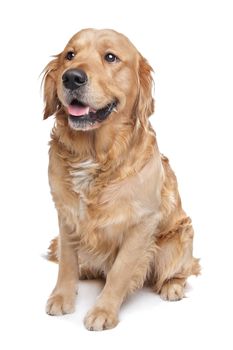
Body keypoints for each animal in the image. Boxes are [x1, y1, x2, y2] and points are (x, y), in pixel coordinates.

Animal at [43, 28, 200, 330]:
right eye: (70, 55)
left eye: (110, 57)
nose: (71, 77)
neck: (94, 155)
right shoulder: (66, 214)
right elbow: (67, 261)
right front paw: (62, 296)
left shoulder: (142, 223)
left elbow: (120, 272)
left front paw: (103, 311)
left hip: (177, 240)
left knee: (185, 269)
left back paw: (172, 286)